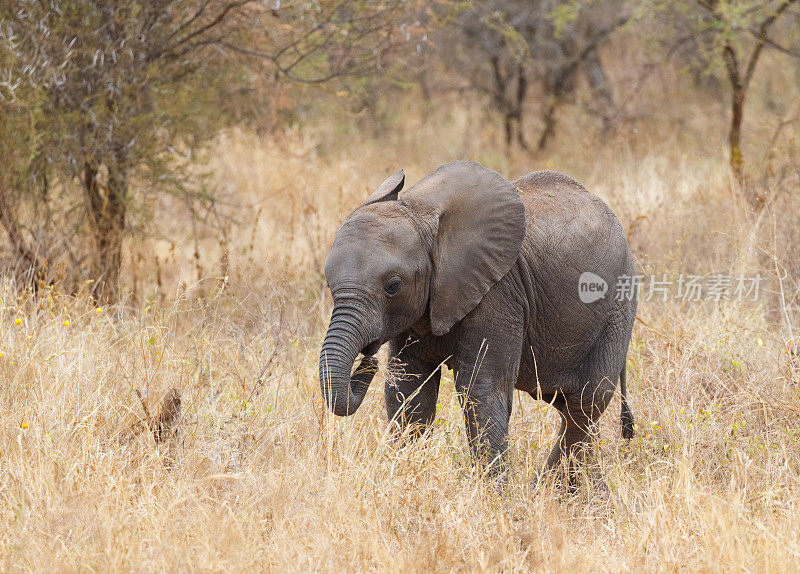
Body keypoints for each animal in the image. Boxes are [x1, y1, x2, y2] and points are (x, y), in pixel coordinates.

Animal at [318, 160, 636, 480]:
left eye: (393, 286)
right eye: (329, 284)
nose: (368, 360)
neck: (421, 209)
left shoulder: (499, 293)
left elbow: (480, 391)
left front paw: (497, 492)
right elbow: (408, 390)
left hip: (617, 310)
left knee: (585, 403)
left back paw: (544, 487)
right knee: (569, 407)